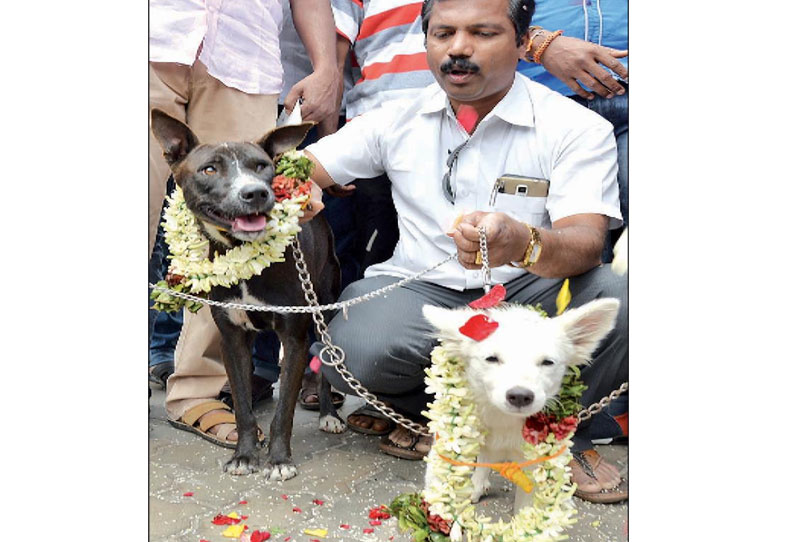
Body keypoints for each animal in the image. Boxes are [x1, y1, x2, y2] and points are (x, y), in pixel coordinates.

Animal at [420, 300, 620, 512]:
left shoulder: (534, 464)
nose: (520, 396)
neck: (503, 420)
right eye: (492, 359)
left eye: (547, 362)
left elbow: (526, 507)